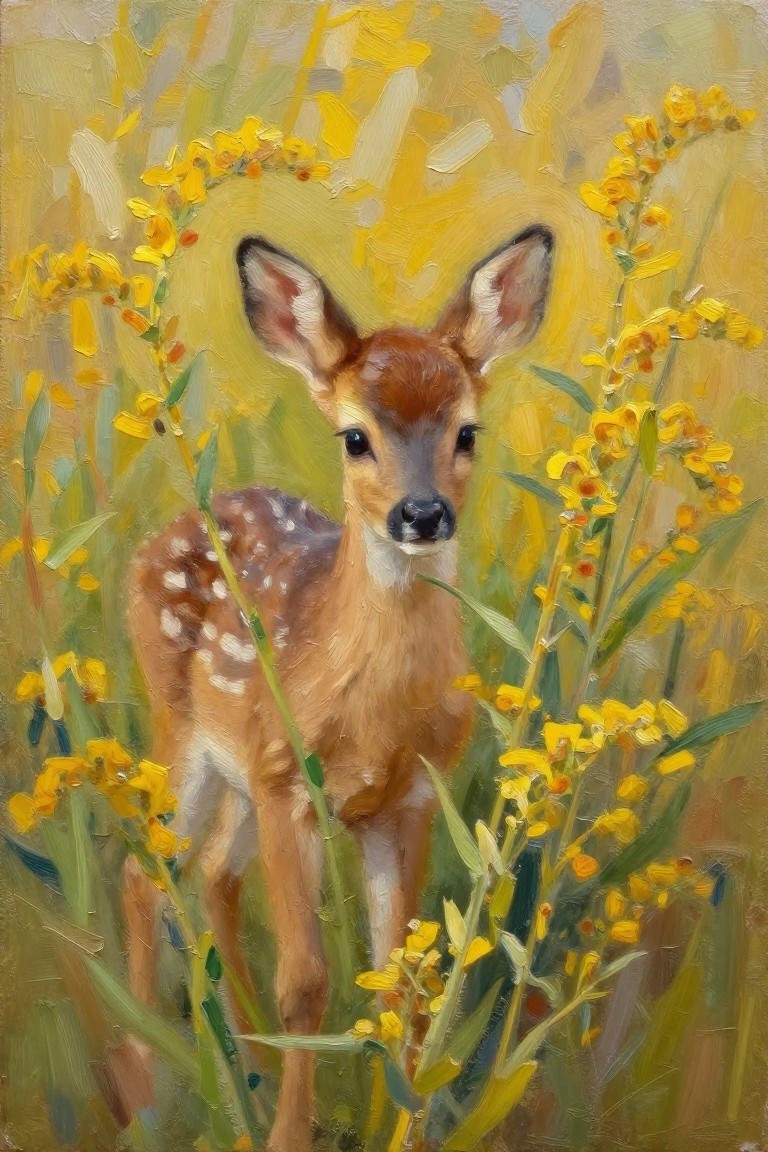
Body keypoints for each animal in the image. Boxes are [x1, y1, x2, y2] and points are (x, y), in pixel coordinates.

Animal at [123, 223, 553, 1152]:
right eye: (354, 437)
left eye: (468, 431)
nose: (421, 514)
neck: (375, 715)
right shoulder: (293, 784)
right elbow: (309, 983)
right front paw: (290, 1135)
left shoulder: (411, 798)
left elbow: (402, 983)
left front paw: (405, 1126)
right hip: (185, 732)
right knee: (149, 871)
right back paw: (141, 1082)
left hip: (240, 773)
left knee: (212, 874)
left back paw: (247, 1051)